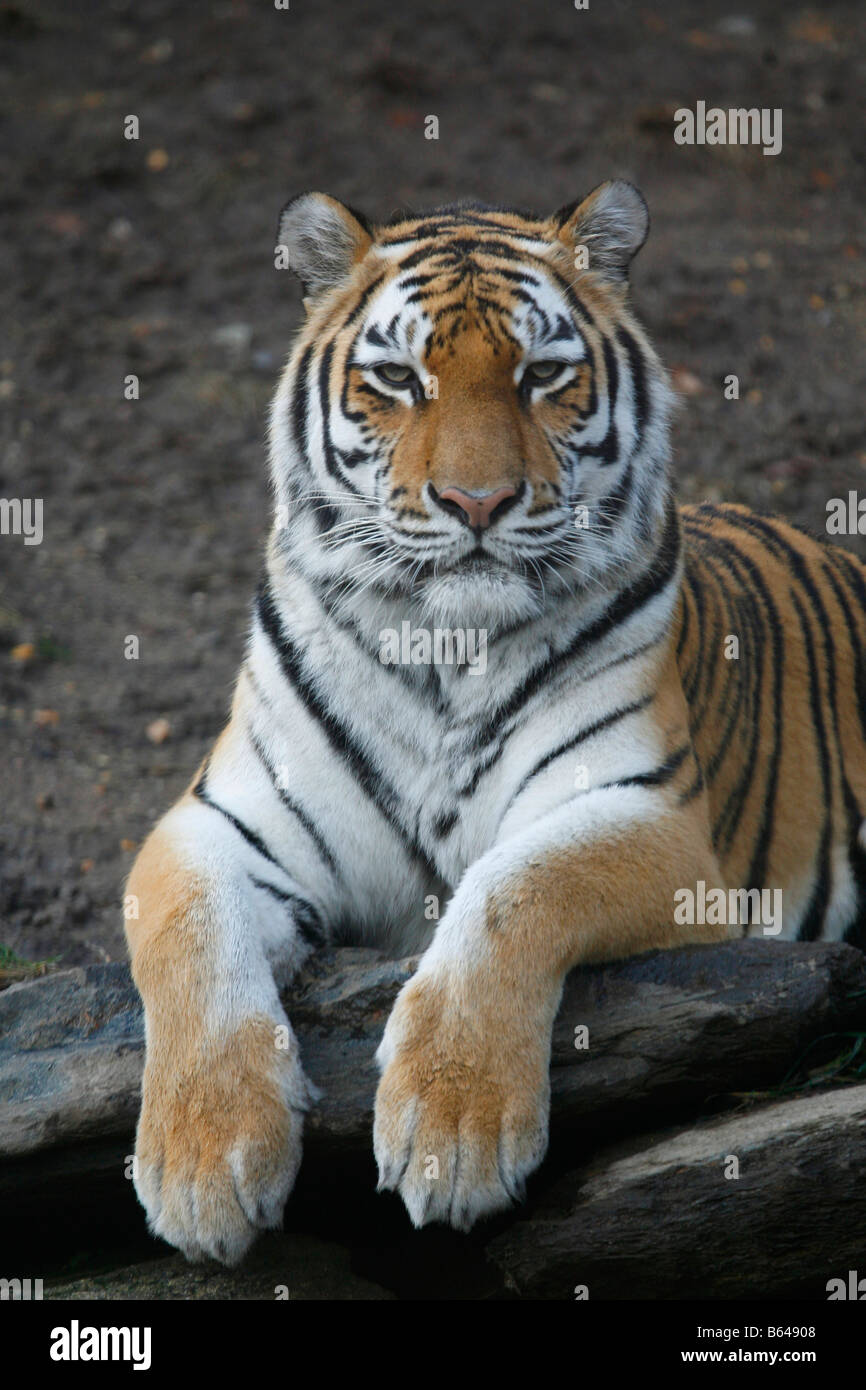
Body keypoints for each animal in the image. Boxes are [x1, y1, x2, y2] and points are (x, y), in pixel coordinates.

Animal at [125, 180, 866, 1266]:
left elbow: (513, 886)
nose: (476, 501)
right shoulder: (221, 822)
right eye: (397, 378)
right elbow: (189, 934)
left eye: (542, 374)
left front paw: (453, 1126)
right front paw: (201, 1157)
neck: (443, 647)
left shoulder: (652, 820)